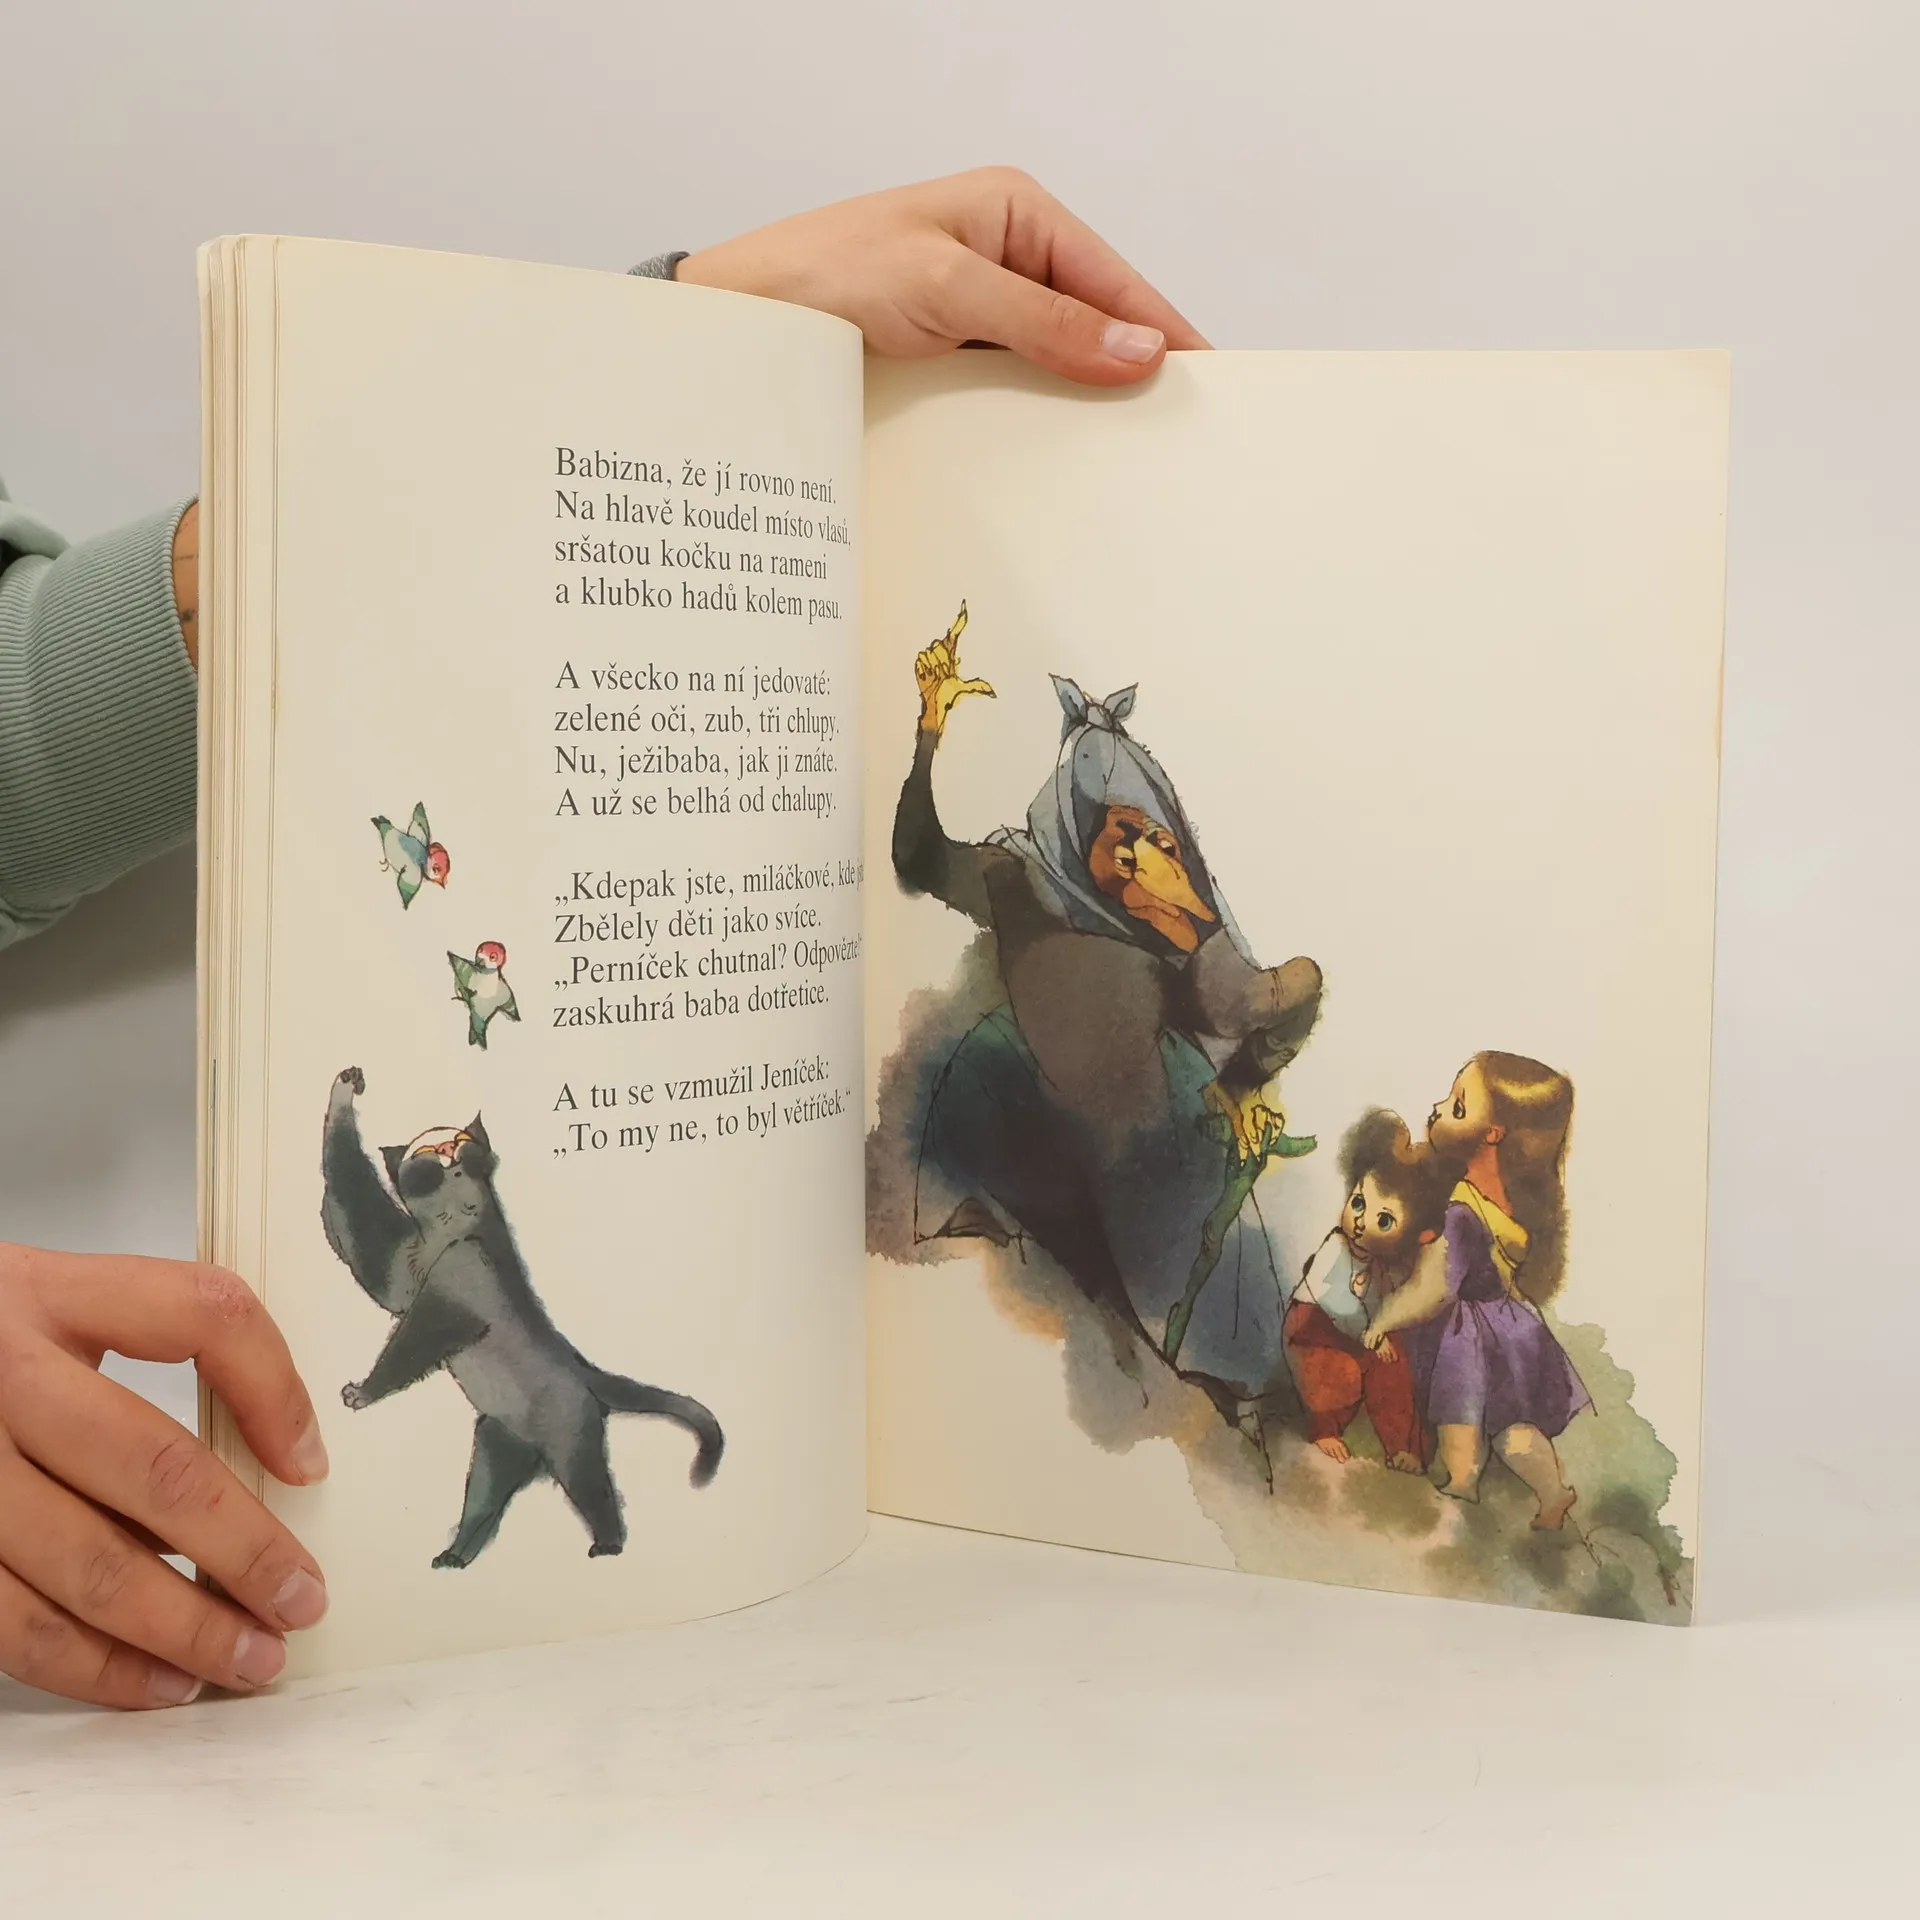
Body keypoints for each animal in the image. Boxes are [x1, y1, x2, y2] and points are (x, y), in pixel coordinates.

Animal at [319, 1065, 724, 1568]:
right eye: (425, 1159)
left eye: (461, 1147)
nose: (450, 1156)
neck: (461, 1230)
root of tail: (582, 1370)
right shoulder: (404, 1268)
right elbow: (361, 1227)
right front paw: (346, 1085)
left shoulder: (453, 1285)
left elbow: (408, 1347)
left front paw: (361, 1393)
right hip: (499, 1443)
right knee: (484, 1501)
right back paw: (455, 1556)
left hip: (570, 1438)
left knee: (593, 1488)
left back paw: (608, 1545)